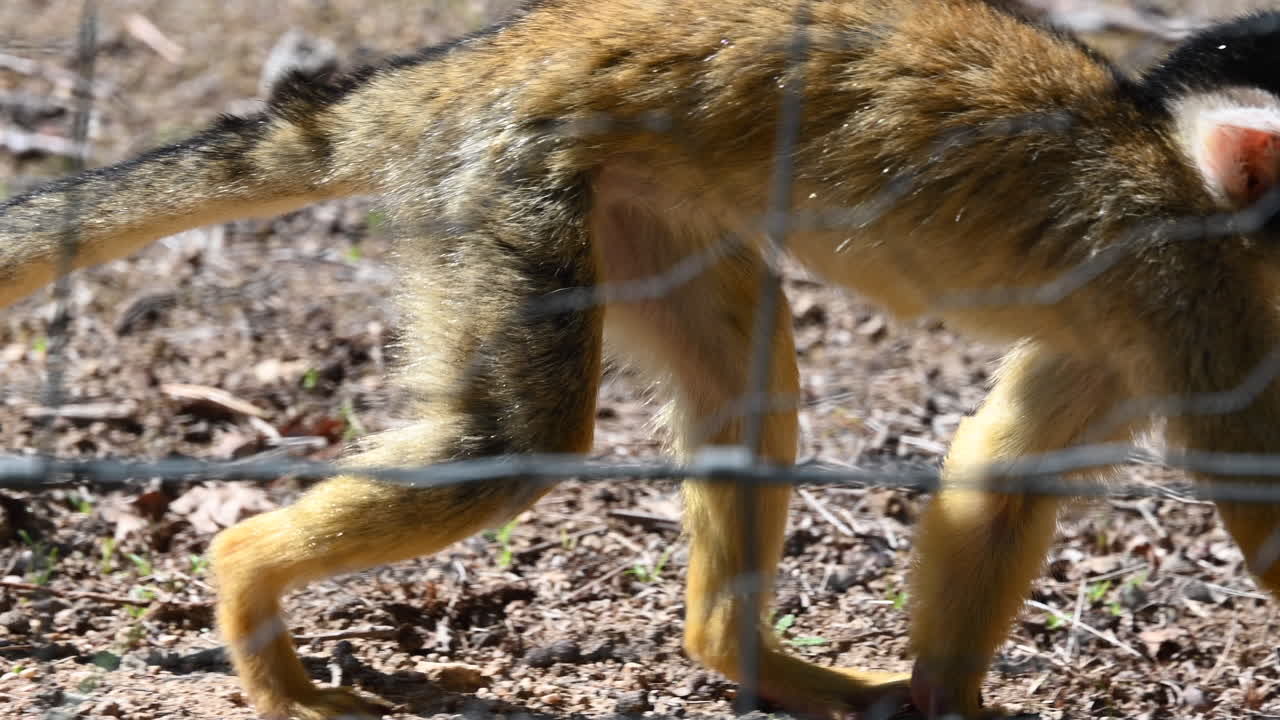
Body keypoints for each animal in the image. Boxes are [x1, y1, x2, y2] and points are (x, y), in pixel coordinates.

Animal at [6, 0, 1280, 717]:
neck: (1178, 172)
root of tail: (438, 77)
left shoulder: (1153, 314)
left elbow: (1001, 465)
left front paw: (947, 701)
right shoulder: (1195, 282)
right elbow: (1256, 497)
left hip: (635, 203)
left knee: (745, 382)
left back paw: (742, 655)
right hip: (502, 189)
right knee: (513, 439)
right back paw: (246, 582)